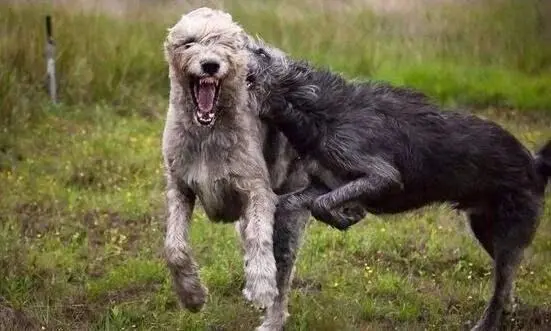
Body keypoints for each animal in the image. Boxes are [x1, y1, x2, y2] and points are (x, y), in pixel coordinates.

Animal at [162, 7, 314, 330]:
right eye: (189, 42)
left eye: (224, 43)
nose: (210, 65)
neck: (207, 132)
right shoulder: (179, 188)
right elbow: (174, 248)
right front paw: (192, 296)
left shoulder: (256, 188)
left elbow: (260, 239)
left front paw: (260, 285)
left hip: (290, 210)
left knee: (282, 269)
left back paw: (271, 318)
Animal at [248, 39, 551, 331]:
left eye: (261, 52)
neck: (315, 108)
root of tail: (535, 165)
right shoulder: (323, 183)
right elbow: (299, 201)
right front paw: (345, 213)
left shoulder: (379, 172)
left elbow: (326, 202)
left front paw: (347, 215)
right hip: (485, 228)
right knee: (508, 278)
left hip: (510, 233)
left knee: (501, 285)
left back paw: (487, 323)